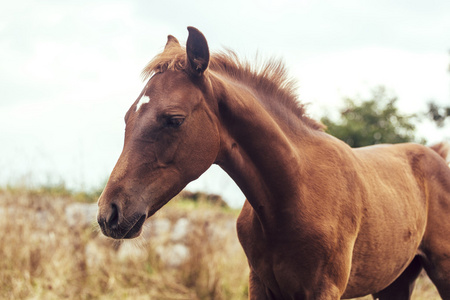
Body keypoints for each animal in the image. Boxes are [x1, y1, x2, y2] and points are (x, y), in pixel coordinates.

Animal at [97, 27, 450, 298]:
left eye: (174, 119)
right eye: (127, 117)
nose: (108, 213)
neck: (294, 193)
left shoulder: (324, 289)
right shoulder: (260, 284)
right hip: (394, 282)